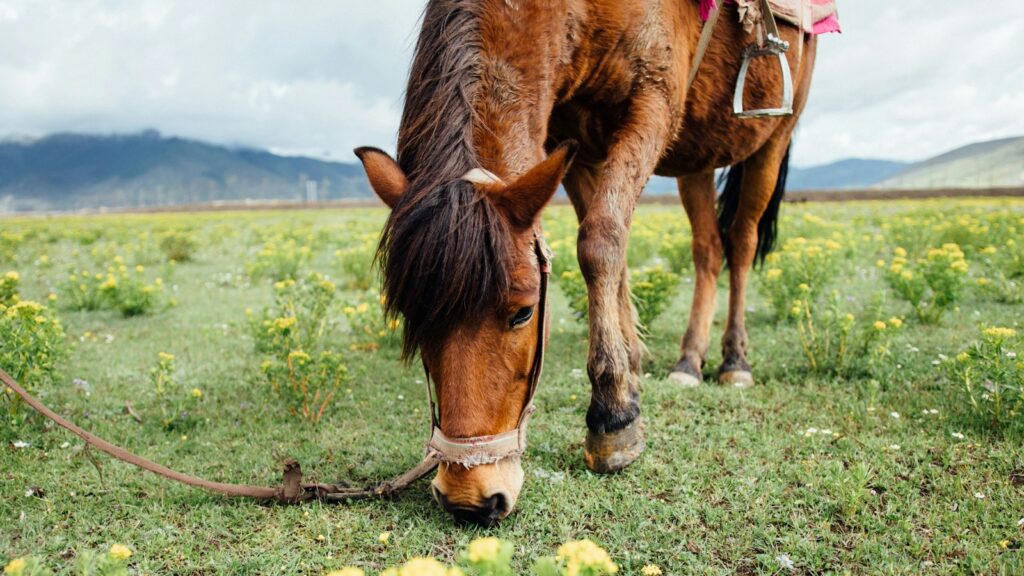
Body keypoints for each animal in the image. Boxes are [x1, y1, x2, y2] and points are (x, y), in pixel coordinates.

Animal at [355, 0, 819, 525]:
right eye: (412, 317)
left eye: (524, 313)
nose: (470, 497)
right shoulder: (571, 138)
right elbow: (609, 245)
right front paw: (630, 369)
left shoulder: (654, 100)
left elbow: (599, 240)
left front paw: (613, 416)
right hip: (698, 156)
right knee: (707, 248)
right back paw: (688, 360)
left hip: (772, 137)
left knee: (739, 241)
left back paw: (734, 359)